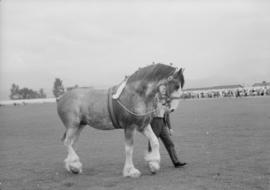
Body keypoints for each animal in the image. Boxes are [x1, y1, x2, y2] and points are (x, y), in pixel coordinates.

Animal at [56, 63, 184, 177]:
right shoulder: (130, 127)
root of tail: (61, 97)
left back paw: (72, 167)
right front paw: (131, 171)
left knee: (72, 143)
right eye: (177, 85)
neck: (136, 94)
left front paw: (154, 165)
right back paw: (74, 166)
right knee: (67, 142)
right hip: (73, 125)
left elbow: (155, 142)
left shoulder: (143, 126)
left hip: (80, 125)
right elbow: (129, 149)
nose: (172, 109)